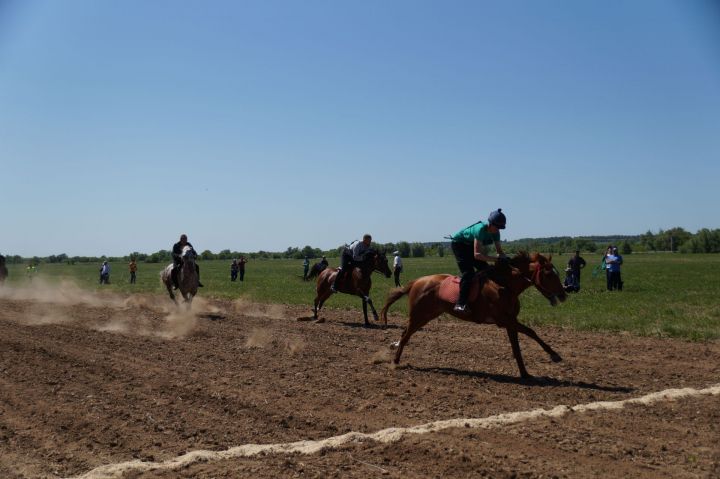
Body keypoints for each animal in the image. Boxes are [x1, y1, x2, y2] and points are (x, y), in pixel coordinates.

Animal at [380, 253, 572, 380]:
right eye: (548, 273)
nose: (564, 294)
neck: (504, 285)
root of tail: (417, 282)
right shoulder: (504, 320)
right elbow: (531, 332)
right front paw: (554, 355)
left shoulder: (511, 321)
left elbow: (517, 348)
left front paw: (525, 373)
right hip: (419, 315)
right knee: (406, 335)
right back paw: (395, 361)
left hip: (427, 315)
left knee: (405, 332)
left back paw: (395, 352)